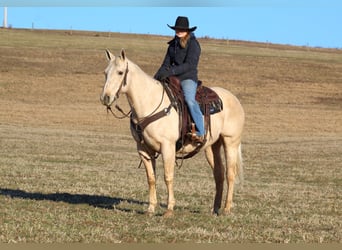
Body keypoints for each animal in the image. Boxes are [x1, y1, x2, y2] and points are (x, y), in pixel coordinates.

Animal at [100, 49, 244, 217]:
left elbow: (168, 177)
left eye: (120, 72)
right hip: (211, 146)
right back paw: (215, 209)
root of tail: (234, 99)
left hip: (230, 142)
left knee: (230, 174)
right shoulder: (143, 149)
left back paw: (227, 209)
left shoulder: (167, 146)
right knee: (219, 174)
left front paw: (169, 209)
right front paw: (150, 209)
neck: (150, 103)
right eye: (105, 73)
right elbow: (151, 178)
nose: (105, 97)